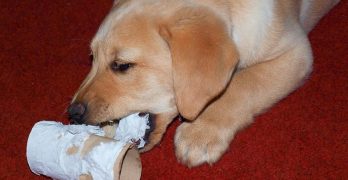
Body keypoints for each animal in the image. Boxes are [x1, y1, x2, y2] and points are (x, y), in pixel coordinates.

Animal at [68, 0, 340, 167]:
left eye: (122, 65)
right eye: (92, 58)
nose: (72, 113)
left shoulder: (296, 52)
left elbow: (243, 84)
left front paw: (200, 133)